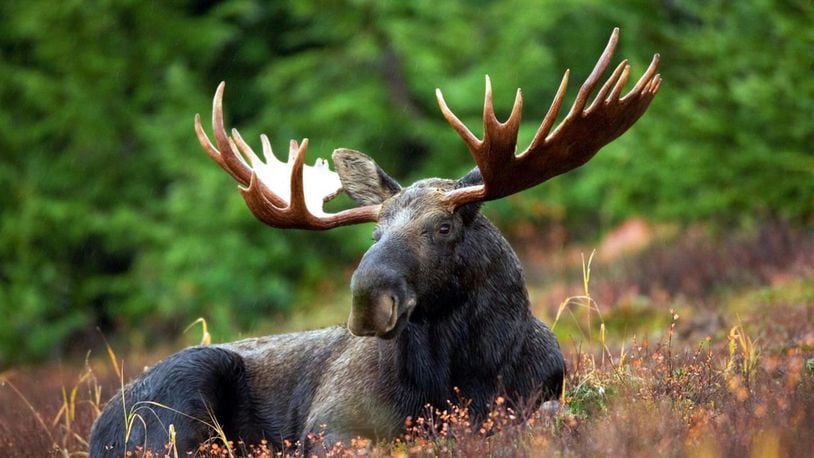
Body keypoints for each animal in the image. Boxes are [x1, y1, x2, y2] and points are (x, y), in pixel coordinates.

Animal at [89, 28, 664, 454]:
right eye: (375, 231)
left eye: (444, 227)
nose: (367, 300)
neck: (465, 374)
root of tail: (98, 427)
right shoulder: (332, 424)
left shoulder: (540, 393)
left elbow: (549, 413)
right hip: (182, 392)